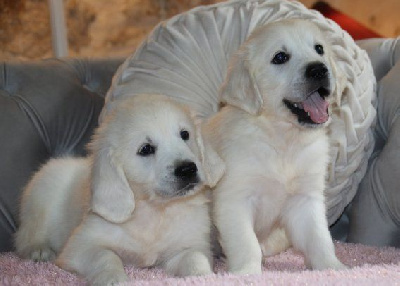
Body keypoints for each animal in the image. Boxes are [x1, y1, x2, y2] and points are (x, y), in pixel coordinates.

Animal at [15, 93, 225, 284]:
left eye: (185, 135)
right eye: (146, 149)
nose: (188, 169)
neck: (154, 211)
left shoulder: (187, 246)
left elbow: (196, 258)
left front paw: (203, 277)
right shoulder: (79, 246)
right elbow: (106, 256)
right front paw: (114, 279)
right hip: (40, 193)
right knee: (25, 236)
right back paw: (39, 250)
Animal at [203, 19, 346, 274]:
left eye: (319, 49)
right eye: (280, 57)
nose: (319, 69)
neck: (282, 139)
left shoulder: (305, 199)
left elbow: (319, 238)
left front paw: (332, 267)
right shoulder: (234, 199)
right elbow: (246, 244)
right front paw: (246, 273)